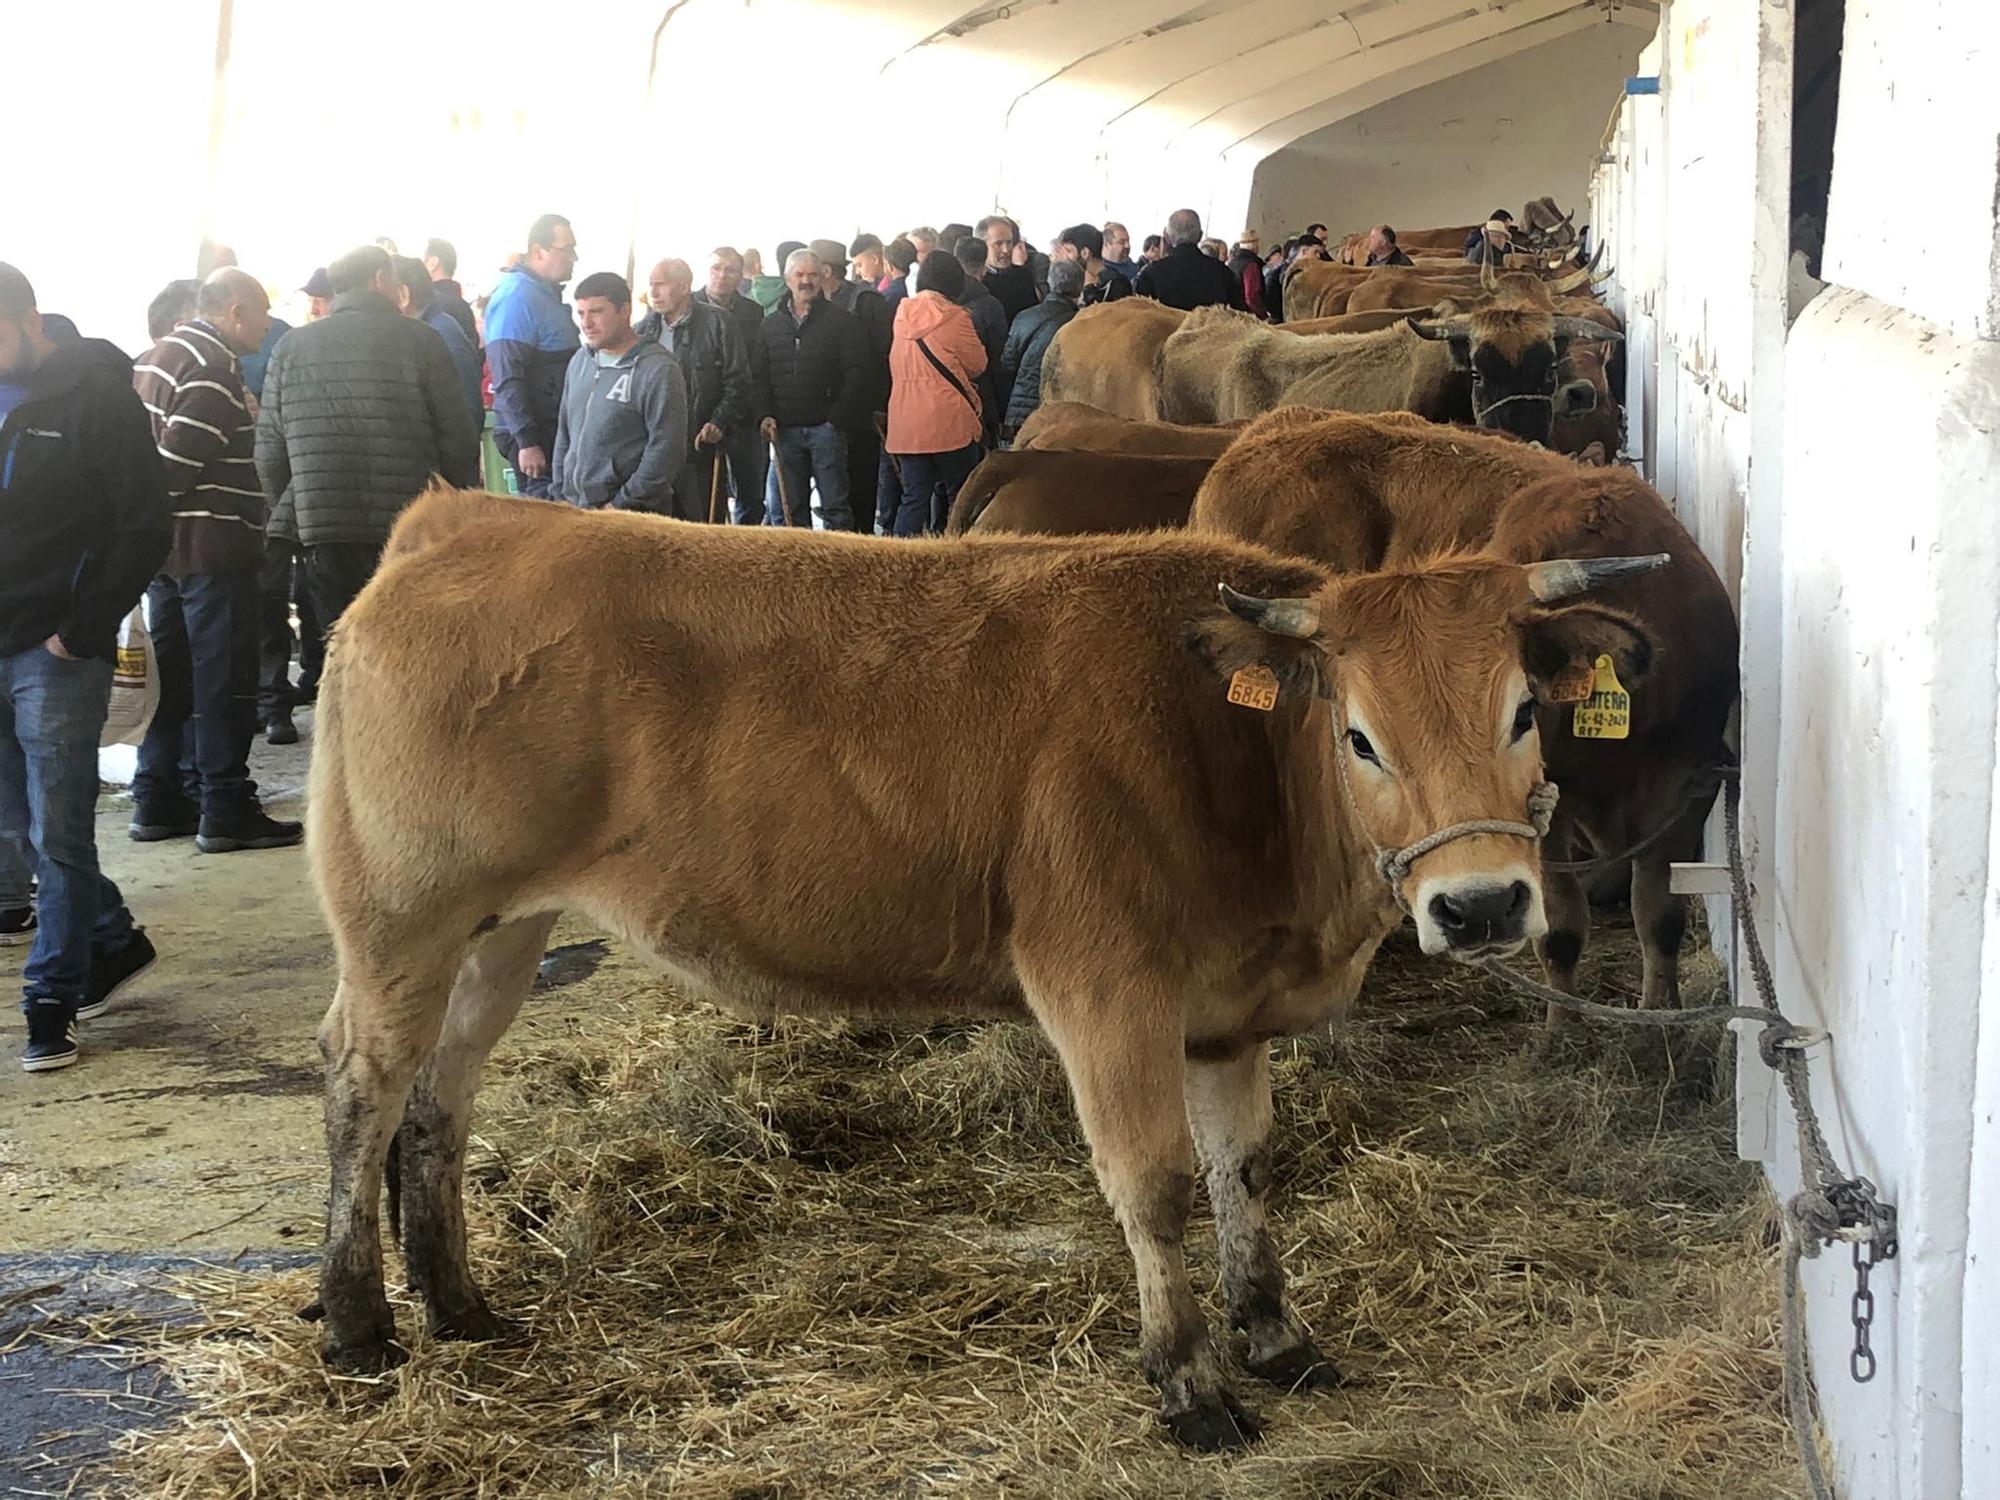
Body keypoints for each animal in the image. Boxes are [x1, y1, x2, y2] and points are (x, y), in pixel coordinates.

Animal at [308, 482, 1656, 1448]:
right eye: (1360, 734)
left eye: (1521, 713)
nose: (1477, 905)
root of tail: (474, 517)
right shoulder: (1103, 991)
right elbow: (1154, 1184)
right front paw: (1191, 1386)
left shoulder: (1226, 1014)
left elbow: (1244, 1170)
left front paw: (1277, 1338)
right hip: (400, 918)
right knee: (363, 1086)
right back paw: (361, 1323)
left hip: (501, 928)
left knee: (441, 1095)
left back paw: (459, 1304)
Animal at [1184, 414, 1736, 1032]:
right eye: (1363, 735)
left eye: (1523, 710)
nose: (1475, 907)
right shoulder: (1545, 820)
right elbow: (1563, 929)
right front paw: (1561, 1028)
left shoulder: (1690, 791)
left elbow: (1660, 916)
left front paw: (1659, 1015)